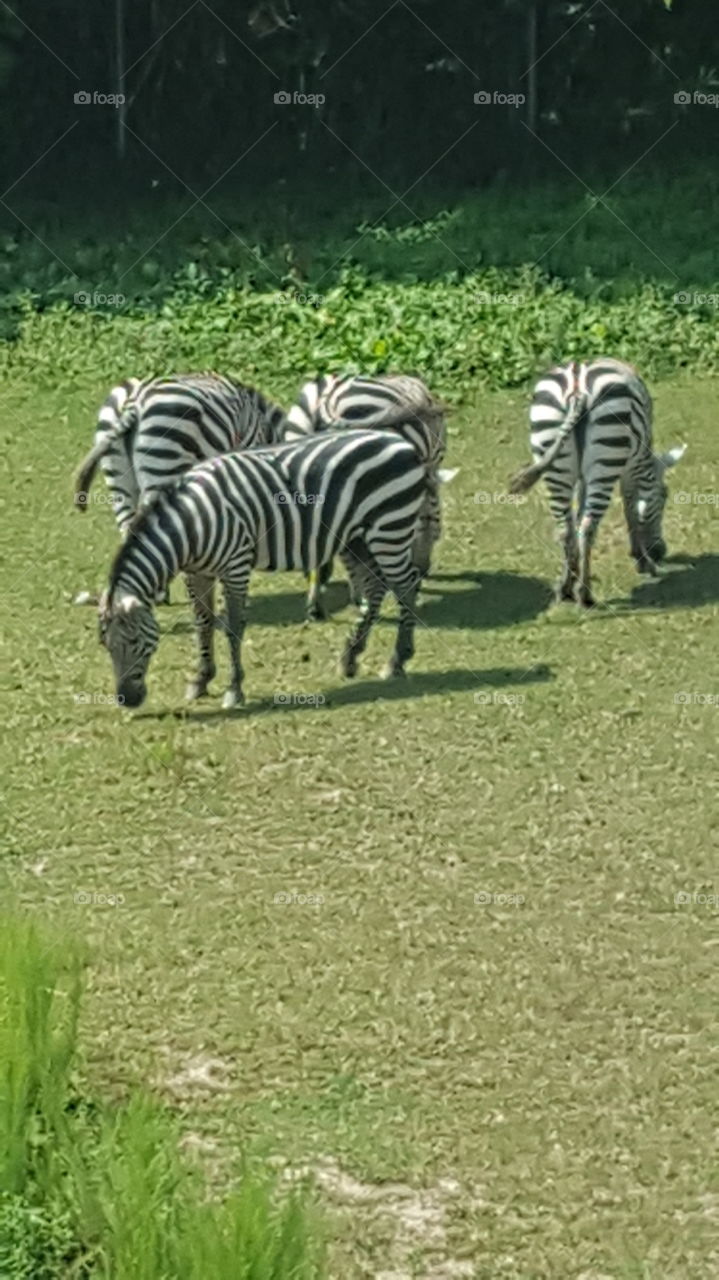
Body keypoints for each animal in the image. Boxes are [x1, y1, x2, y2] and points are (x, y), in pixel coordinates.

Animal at [97, 430, 427, 711]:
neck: (191, 525)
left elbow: (232, 627)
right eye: (105, 646)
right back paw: (350, 657)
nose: (127, 700)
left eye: (135, 643)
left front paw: (234, 689)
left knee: (406, 586)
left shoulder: (236, 566)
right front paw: (201, 679)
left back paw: (397, 660)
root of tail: (400, 441)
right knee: (375, 588)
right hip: (358, 539)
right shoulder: (198, 573)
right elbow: (203, 623)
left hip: (390, 528)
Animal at [504, 355, 680, 604]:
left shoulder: (582, 477)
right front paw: (644, 562)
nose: (660, 552)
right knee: (588, 528)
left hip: (554, 456)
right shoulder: (633, 466)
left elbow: (578, 515)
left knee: (566, 528)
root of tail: (577, 390)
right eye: (664, 497)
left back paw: (565, 588)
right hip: (606, 457)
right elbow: (632, 507)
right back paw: (584, 594)